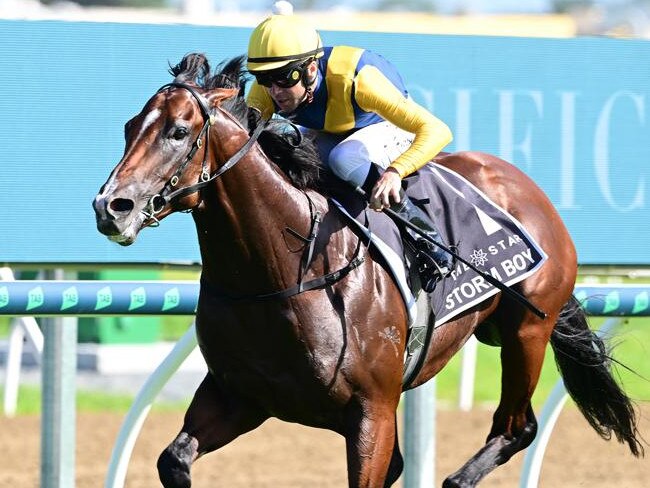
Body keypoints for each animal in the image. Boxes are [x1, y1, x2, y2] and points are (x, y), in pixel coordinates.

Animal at [92, 51, 644, 486]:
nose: (110, 207)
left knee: (517, 427)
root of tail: (526, 187)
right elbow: (173, 460)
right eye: (128, 128)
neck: (282, 273)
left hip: (528, 329)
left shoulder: (372, 414)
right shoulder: (240, 396)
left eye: (179, 131)